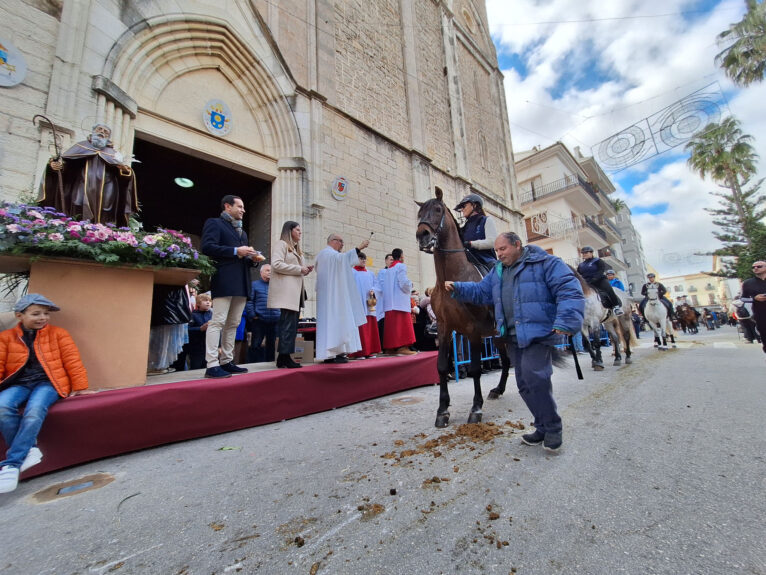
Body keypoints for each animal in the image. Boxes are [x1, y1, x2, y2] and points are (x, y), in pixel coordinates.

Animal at [414, 189, 510, 428]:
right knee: (506, 360)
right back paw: (498, 390)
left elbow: (475, 369)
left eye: (437, 209)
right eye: (420, 212)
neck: (451, 281)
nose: (422, 235)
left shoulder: (473, 331)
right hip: (497, 337)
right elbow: (441, 366)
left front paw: (476, 408)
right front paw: (442, 411)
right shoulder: (445, 328)